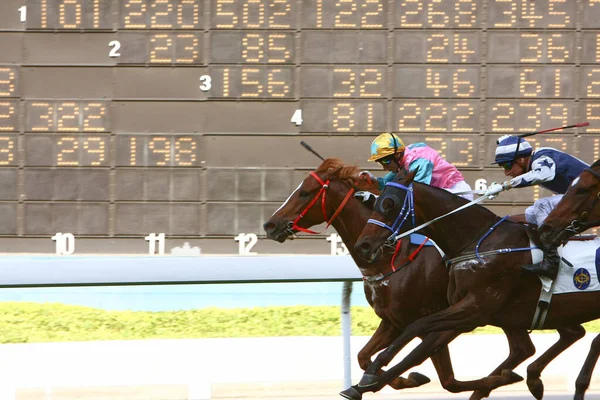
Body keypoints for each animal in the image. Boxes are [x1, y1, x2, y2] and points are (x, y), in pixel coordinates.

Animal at [264, 159, 540, 400]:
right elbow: (364, 356)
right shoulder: (392, 321)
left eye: (305, 193)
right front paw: (394, 379)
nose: (270, 225)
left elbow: (447, 380)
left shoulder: (429, 317)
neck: (389, 255)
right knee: (523, 349)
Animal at [354, 170, 596, 400]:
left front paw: (374, 372)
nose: (363, 245)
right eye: (375, 202)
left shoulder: (474, 308)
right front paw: (362, 385)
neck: (476, 240)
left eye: (389, 203)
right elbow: (424, 350)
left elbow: (418, 330)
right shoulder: (463, 311)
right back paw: (528, 378)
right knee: (544, 342)